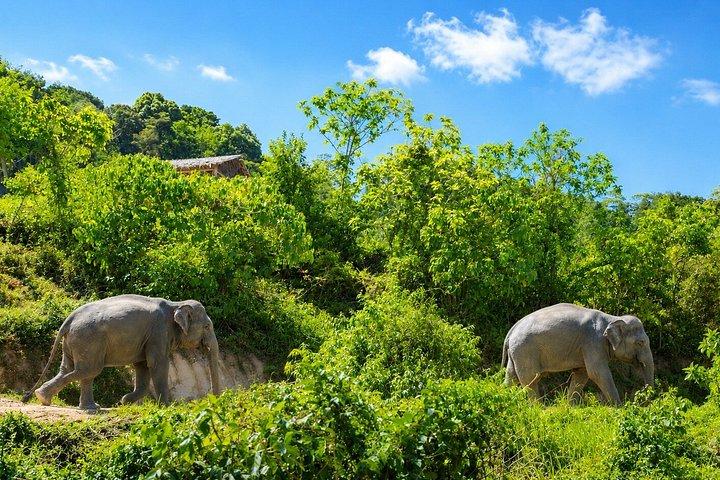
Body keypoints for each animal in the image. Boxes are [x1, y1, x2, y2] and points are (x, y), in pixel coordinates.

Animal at [22, 294, 221, 410]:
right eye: (206, 326)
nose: (214, 402)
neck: (176, 304)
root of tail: (69, 319)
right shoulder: (158, 332)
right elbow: (156, 363)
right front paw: (167, 406)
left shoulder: (149, 337)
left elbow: (142, 366)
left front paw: (125, 401)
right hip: (88, 340)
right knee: (88, 370)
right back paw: (45, 397)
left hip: (75, 341)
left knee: (72, 370)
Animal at [501, 303, 654, 405]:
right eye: (640, 342)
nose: (644, 402)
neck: (612, 318)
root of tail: (512, 329)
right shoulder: (593, 342)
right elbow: (597, 373)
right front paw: (619, 408)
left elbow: (582, 374)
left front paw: (570, 407)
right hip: (525, 350)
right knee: (530, 379)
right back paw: (537, 408)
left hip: (516, 351)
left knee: (511, 376)